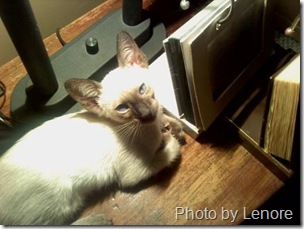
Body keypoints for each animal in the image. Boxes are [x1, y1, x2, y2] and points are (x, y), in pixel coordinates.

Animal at [0, 31, 185, 225]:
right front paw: (169, 136)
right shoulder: (134, 172)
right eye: (122, 108)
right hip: (59, 203)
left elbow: (166, 117)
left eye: (142, 89)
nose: (146, 114)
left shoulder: (155, 112)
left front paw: (173, 127)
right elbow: (172, 150)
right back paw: (99, 220)